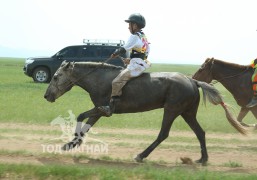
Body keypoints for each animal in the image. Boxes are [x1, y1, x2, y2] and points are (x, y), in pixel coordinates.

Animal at [43, 61, 246, 165]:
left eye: (56, 77)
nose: (46, 95)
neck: (99, 79)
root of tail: (192, 81)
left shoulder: (102, 109)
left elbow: (80, 117)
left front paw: (73, 142)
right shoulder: (98, 111)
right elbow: (86, 125)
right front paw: (71, 144)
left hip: (172, 110)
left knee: (163, 134)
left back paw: (141, 155)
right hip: (187, 113)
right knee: (200, 132)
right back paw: (202, 159)